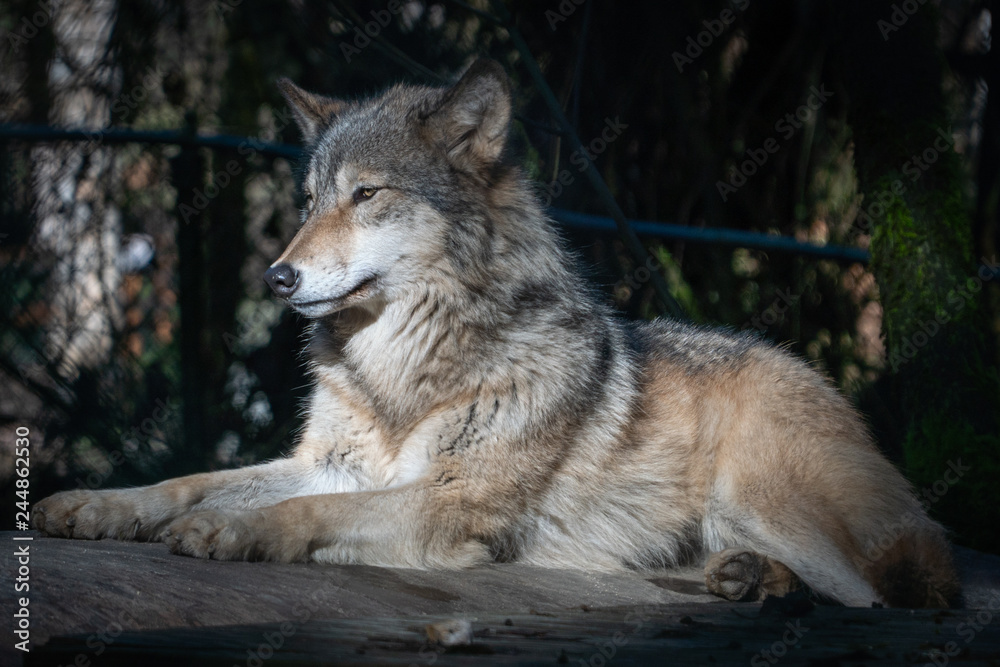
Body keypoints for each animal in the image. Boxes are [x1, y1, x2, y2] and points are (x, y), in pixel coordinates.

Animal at [33, 60, 960, 608]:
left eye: (367, 195)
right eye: (310, 200)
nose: (277, 279)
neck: (401, 371)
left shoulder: (455, 498)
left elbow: (299, 511)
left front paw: (233, 532)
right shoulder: (331, 462)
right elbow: (190, 480)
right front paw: (100, 504)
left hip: (756, 490)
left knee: (883, 599)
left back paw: (768, 581)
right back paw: (737, 578)